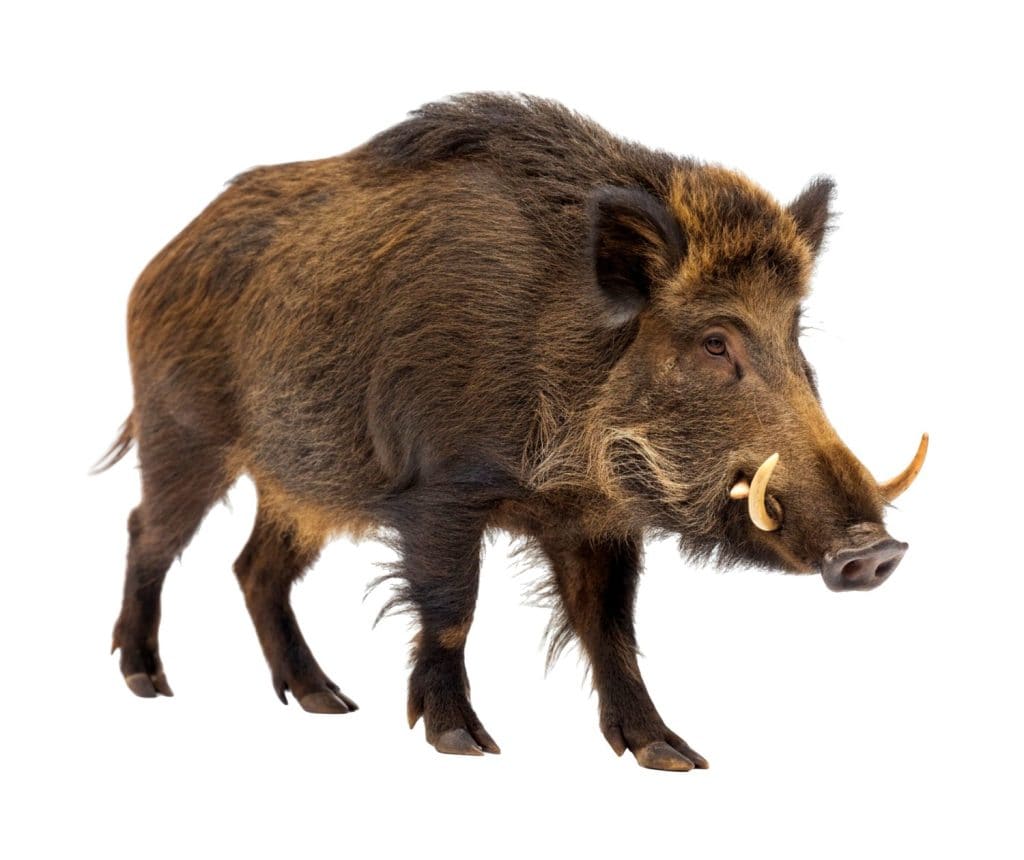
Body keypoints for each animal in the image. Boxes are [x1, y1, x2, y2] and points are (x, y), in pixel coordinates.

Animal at [99, 93, 927, 771]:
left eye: (796, 335)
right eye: (716, 341)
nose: (875, 550)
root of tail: (157, 263)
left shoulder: (596, 520)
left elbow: (610, 627)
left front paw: (672, 755)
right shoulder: (438, 491)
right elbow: (451, 611)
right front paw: (465, 743)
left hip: (299, 482)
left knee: (254, 568)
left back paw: (326, 701)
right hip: (183, 436)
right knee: (149, 531)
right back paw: (147, 682)